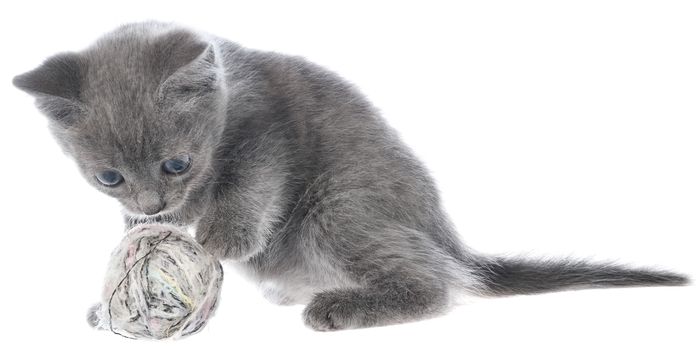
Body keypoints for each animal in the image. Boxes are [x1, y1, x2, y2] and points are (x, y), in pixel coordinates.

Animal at [12, 22, 688, 330]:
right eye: (109, 178)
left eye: (176, 162)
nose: (151, 203)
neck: (230, 92)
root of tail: (448, 241)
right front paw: (144, 239)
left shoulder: (269, 131)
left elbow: (250, 182)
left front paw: (222, 237)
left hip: (339, 207)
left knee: (435, 286)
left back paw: (338, 306)